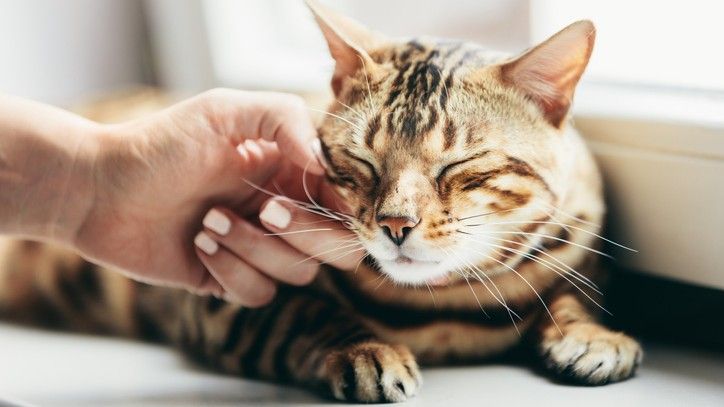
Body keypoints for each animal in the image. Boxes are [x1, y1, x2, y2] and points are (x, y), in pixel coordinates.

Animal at [1, 1, 644, 404]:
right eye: (362, 162)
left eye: (457, 167)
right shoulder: (222, 302)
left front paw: (593, 335)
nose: (395, 224)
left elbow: (572, 294)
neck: (440, 309)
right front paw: (365, 350)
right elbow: (303, 314)